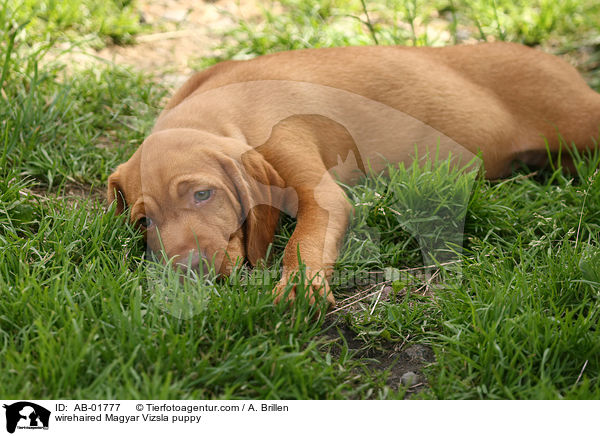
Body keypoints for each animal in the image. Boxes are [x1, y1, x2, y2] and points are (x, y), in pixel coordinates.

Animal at [108, 42, 600, 304]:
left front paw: (299, 289)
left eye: (203, 195)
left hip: (581, 120)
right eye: (144, 221)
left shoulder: (317, 189)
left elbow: (303, 241)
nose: (187, 272)